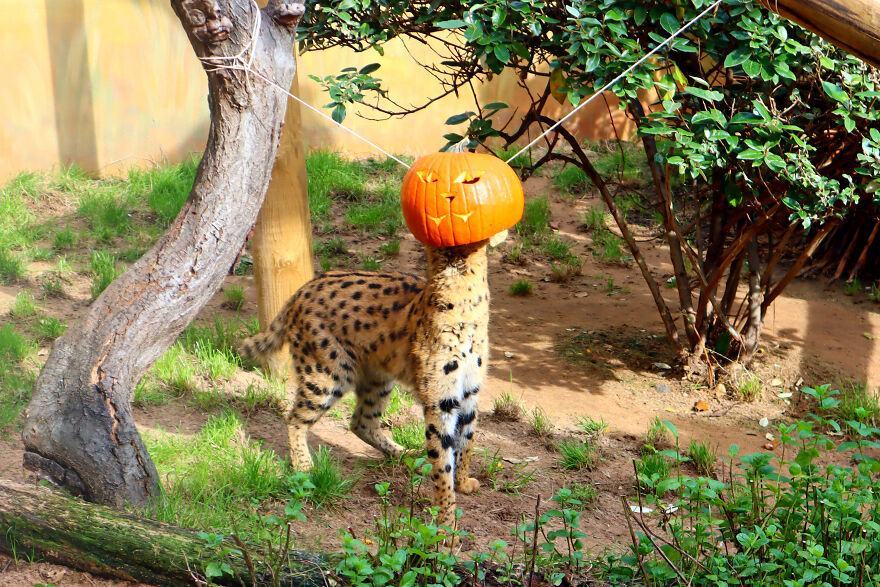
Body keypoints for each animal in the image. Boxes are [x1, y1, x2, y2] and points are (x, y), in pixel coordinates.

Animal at [241, 239, 492, 528]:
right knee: (295, 417)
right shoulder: (441, 402)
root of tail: (302, 290)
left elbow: (466, 443)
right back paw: (304, 466)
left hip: (377, 378)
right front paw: (446, 518)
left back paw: (404, 454)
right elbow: (443, 462)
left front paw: (462, 483)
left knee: (361, 422)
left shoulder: (469, 395)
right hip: (328, 374)